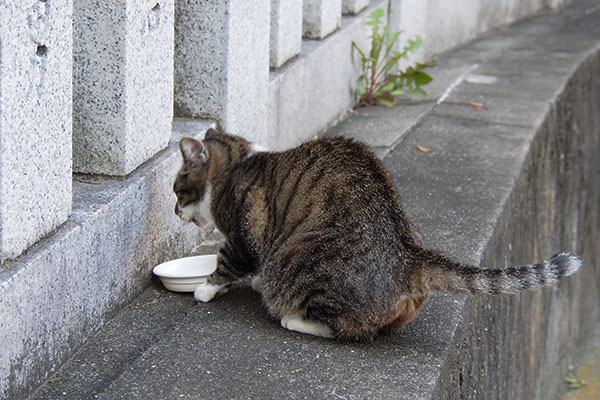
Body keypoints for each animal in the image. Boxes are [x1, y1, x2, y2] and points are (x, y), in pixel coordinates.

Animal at [172, 128, 580, 340]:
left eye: (177, 189)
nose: (175, 211)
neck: (236, 164)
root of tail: (408, 254)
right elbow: (254, 264)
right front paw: (251, 281)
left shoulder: (244, 234)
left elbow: (227, 264)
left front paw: (204, 289)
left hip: (299, 255)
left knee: (343, 327)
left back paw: (293, 318)